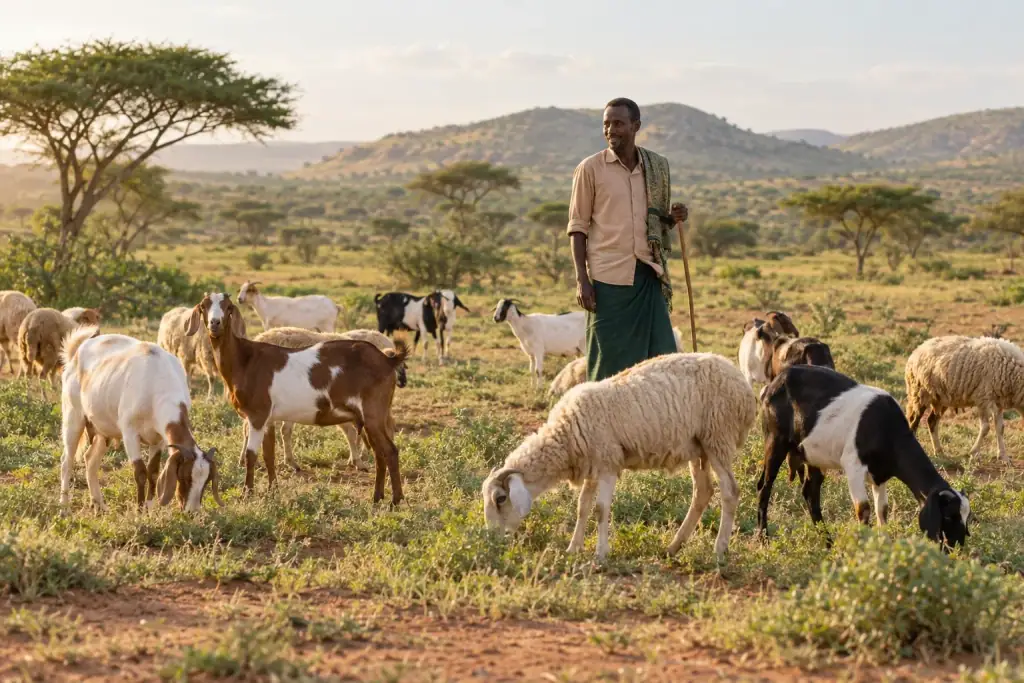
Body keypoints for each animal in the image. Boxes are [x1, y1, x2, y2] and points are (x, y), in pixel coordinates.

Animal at [58, 325, 222, 512]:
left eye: (206, 482)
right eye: (185, 477)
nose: (192, 512)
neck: (157, 384)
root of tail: (77, 351)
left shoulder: (158, 438)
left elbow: (153, 471)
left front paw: (149, 509)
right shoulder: (130, 434)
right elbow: (141, 472)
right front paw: (140, 510)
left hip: (103, 429)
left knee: (90, 459)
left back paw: (99, 505)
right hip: (73, 416)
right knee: (67, 461)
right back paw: (64, 507)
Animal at [482, 352, 756, 564]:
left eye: (501, 498)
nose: (492, 540)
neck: (565, 437)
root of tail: (743, 384)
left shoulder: (607, 462)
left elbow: (600, 509)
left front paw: (600, 553)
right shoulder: (592, 465)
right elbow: (582, 506)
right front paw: (573, 548)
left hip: (718, 437)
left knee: (730, 492)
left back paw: (719, 550)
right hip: (698, 448)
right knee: (703, 492)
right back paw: (673, 546)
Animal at [758, 364, 970, 551]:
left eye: (967, 517)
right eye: (949, 516)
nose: (956, 547)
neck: (885, 428)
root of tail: (774, 383)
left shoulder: (880, 475)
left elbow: (882, 509)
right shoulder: (854, 466)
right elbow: (863, 508)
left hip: (813, 455)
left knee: (810, 492)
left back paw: (828, 543)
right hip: (775, 441)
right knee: (764, 486)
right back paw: (763, 538)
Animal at [905, 334, 1024, 463]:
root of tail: (918, 349)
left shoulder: (998, 402)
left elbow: (1000, 428)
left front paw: (1003, 457)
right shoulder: (983, 399)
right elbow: (986, 428)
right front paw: (974, 452)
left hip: (941, 398)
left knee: (931, 421)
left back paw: (939, 451)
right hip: (920, 392)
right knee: (914, 421)